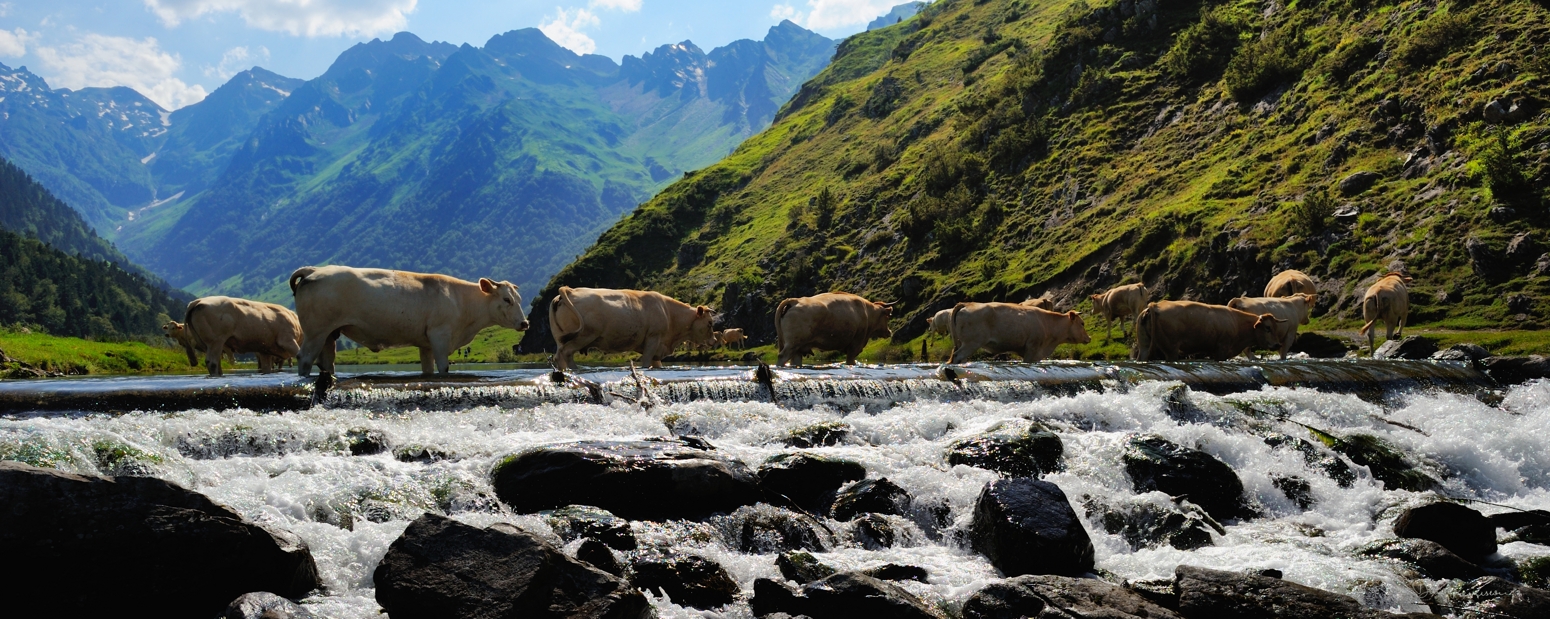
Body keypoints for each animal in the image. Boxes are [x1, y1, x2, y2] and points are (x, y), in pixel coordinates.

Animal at [291, 265, 527, 375]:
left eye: (519, 299)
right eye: (506, 299)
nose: (525, 323)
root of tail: (315, 269)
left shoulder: (426, 343)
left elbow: (428, 369)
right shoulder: (440, 336)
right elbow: (444, 368)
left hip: (329, 335)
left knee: (326, 362)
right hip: (315, 331)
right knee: (305, 358)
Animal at [548, 287, 709, 370]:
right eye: (709, 323)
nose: (713, 341)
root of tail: (570, 290)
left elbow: (656, 364)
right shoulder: (654, 338)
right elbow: (646, 361)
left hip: (560, 338)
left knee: (559, 356)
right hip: (584, 335)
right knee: (567, 352)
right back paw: (576, 369)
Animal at [942, 304, 1091, 366]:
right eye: (1082, 323)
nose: (1089, 338)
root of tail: (967, 304)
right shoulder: (1032, 349)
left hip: (963, 343)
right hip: (971, 343)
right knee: (957, 356)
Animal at [1134, 302, 1289, 363]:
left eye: (1276, 328)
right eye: (1268, 328)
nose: (1277, 344)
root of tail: (1156, 305)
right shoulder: (1222, 349)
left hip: (1144, 345)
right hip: (1171, 349)